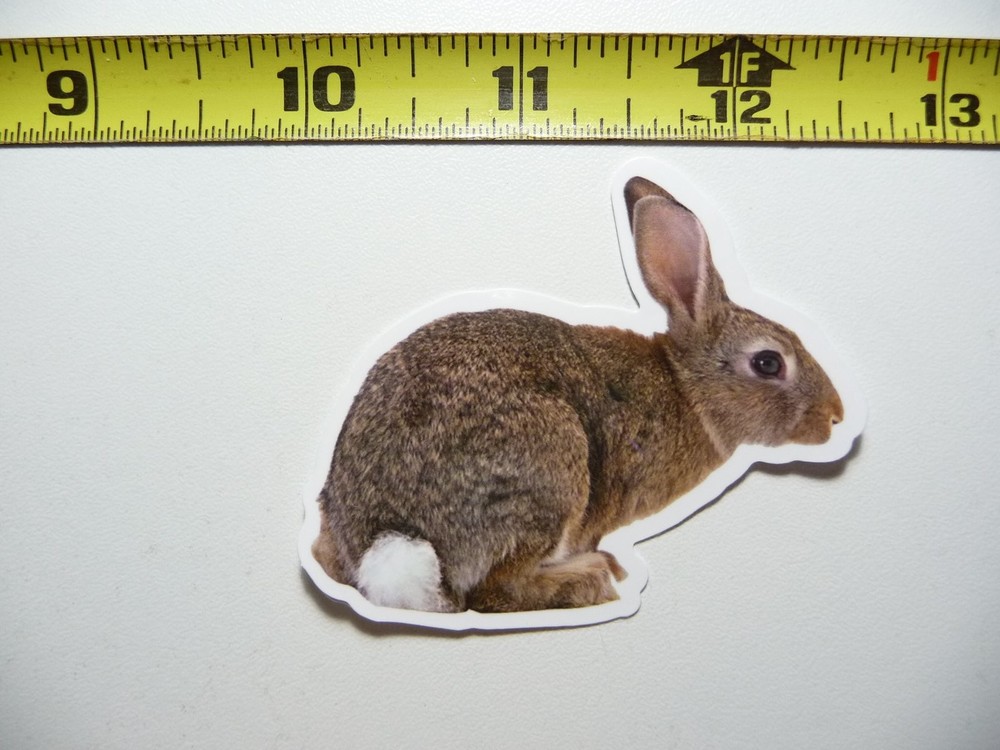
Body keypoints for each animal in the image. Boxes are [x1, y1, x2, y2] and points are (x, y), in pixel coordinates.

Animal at [312, 175, 844, 614]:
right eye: (768, 362)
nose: (835, 417)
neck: (685, 387)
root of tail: (390, 537)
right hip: (550, 468)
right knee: (492, 593)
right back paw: (591, 578)